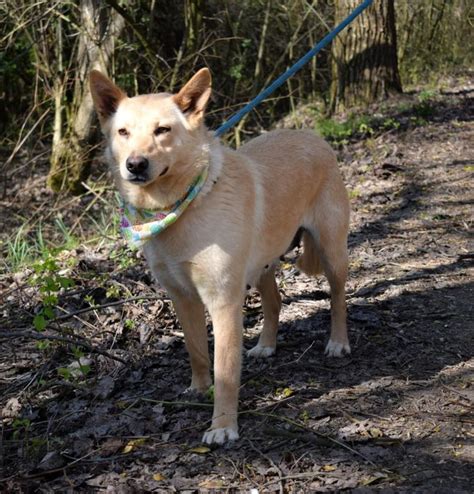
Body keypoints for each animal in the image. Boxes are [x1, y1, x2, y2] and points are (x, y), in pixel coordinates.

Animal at [89, 68, 350, 444]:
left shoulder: (223, 302)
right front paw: (200, 389)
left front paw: (223, 425)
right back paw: (266, 345)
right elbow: (196, 350)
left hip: (331, 250)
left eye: (162, 130)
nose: (135, 165)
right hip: (260, 263)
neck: (180, 208)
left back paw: (338, 341)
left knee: (338, 297)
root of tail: (312, 135)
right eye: (122, 132)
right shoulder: (182, 297)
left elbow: (225, 370)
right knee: (274, 301)